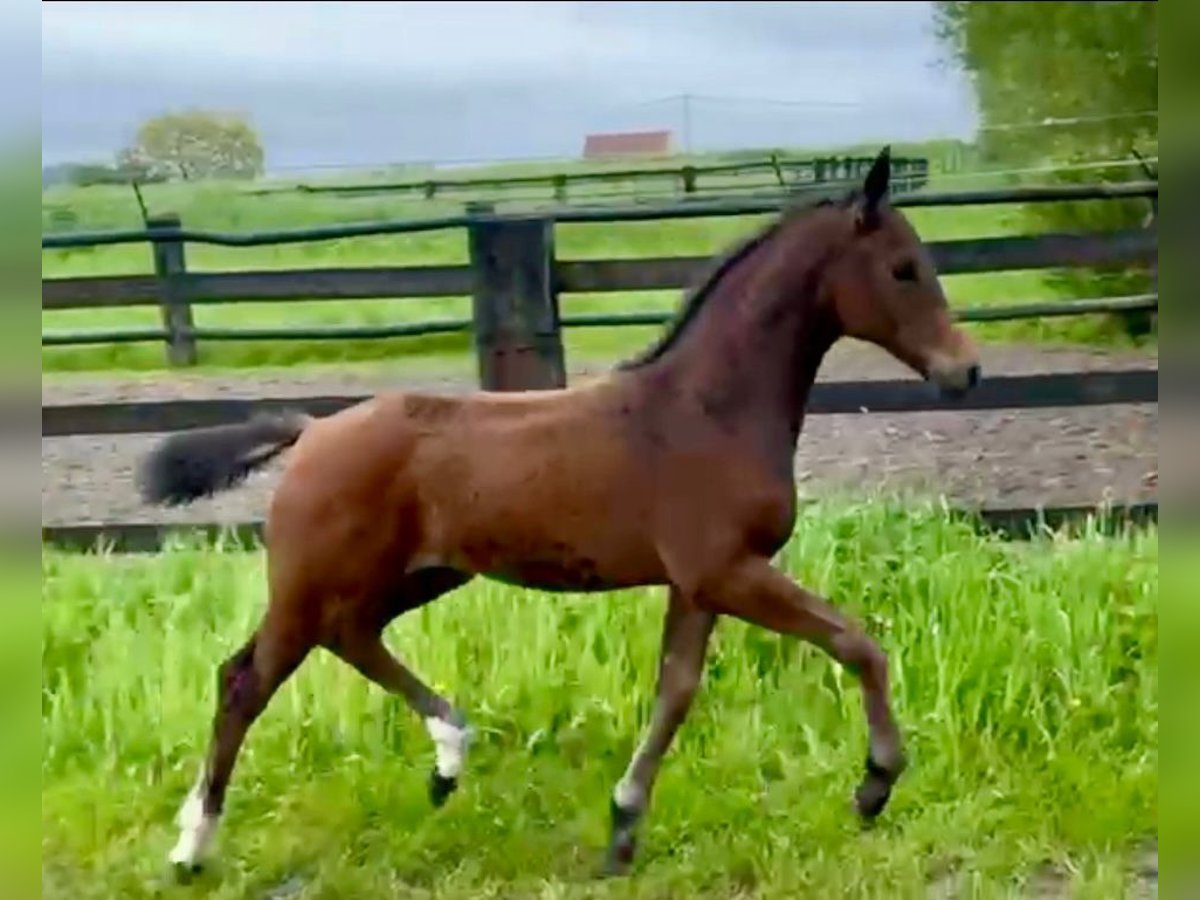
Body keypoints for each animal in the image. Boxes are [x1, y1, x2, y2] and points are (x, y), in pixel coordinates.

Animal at [140, 150, 979, 883]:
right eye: (903, 268)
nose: (965, 371)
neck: (707, 411)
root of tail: (311, 432)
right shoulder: (727, 571)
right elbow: (856, 645)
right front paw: (874, 785)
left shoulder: (699, 584)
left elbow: (675, 692)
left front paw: (622, 829)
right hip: (313, 585)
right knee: (244, 679)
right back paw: (191, 848)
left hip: (415, 577)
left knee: (351, 638)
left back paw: (449, 755)